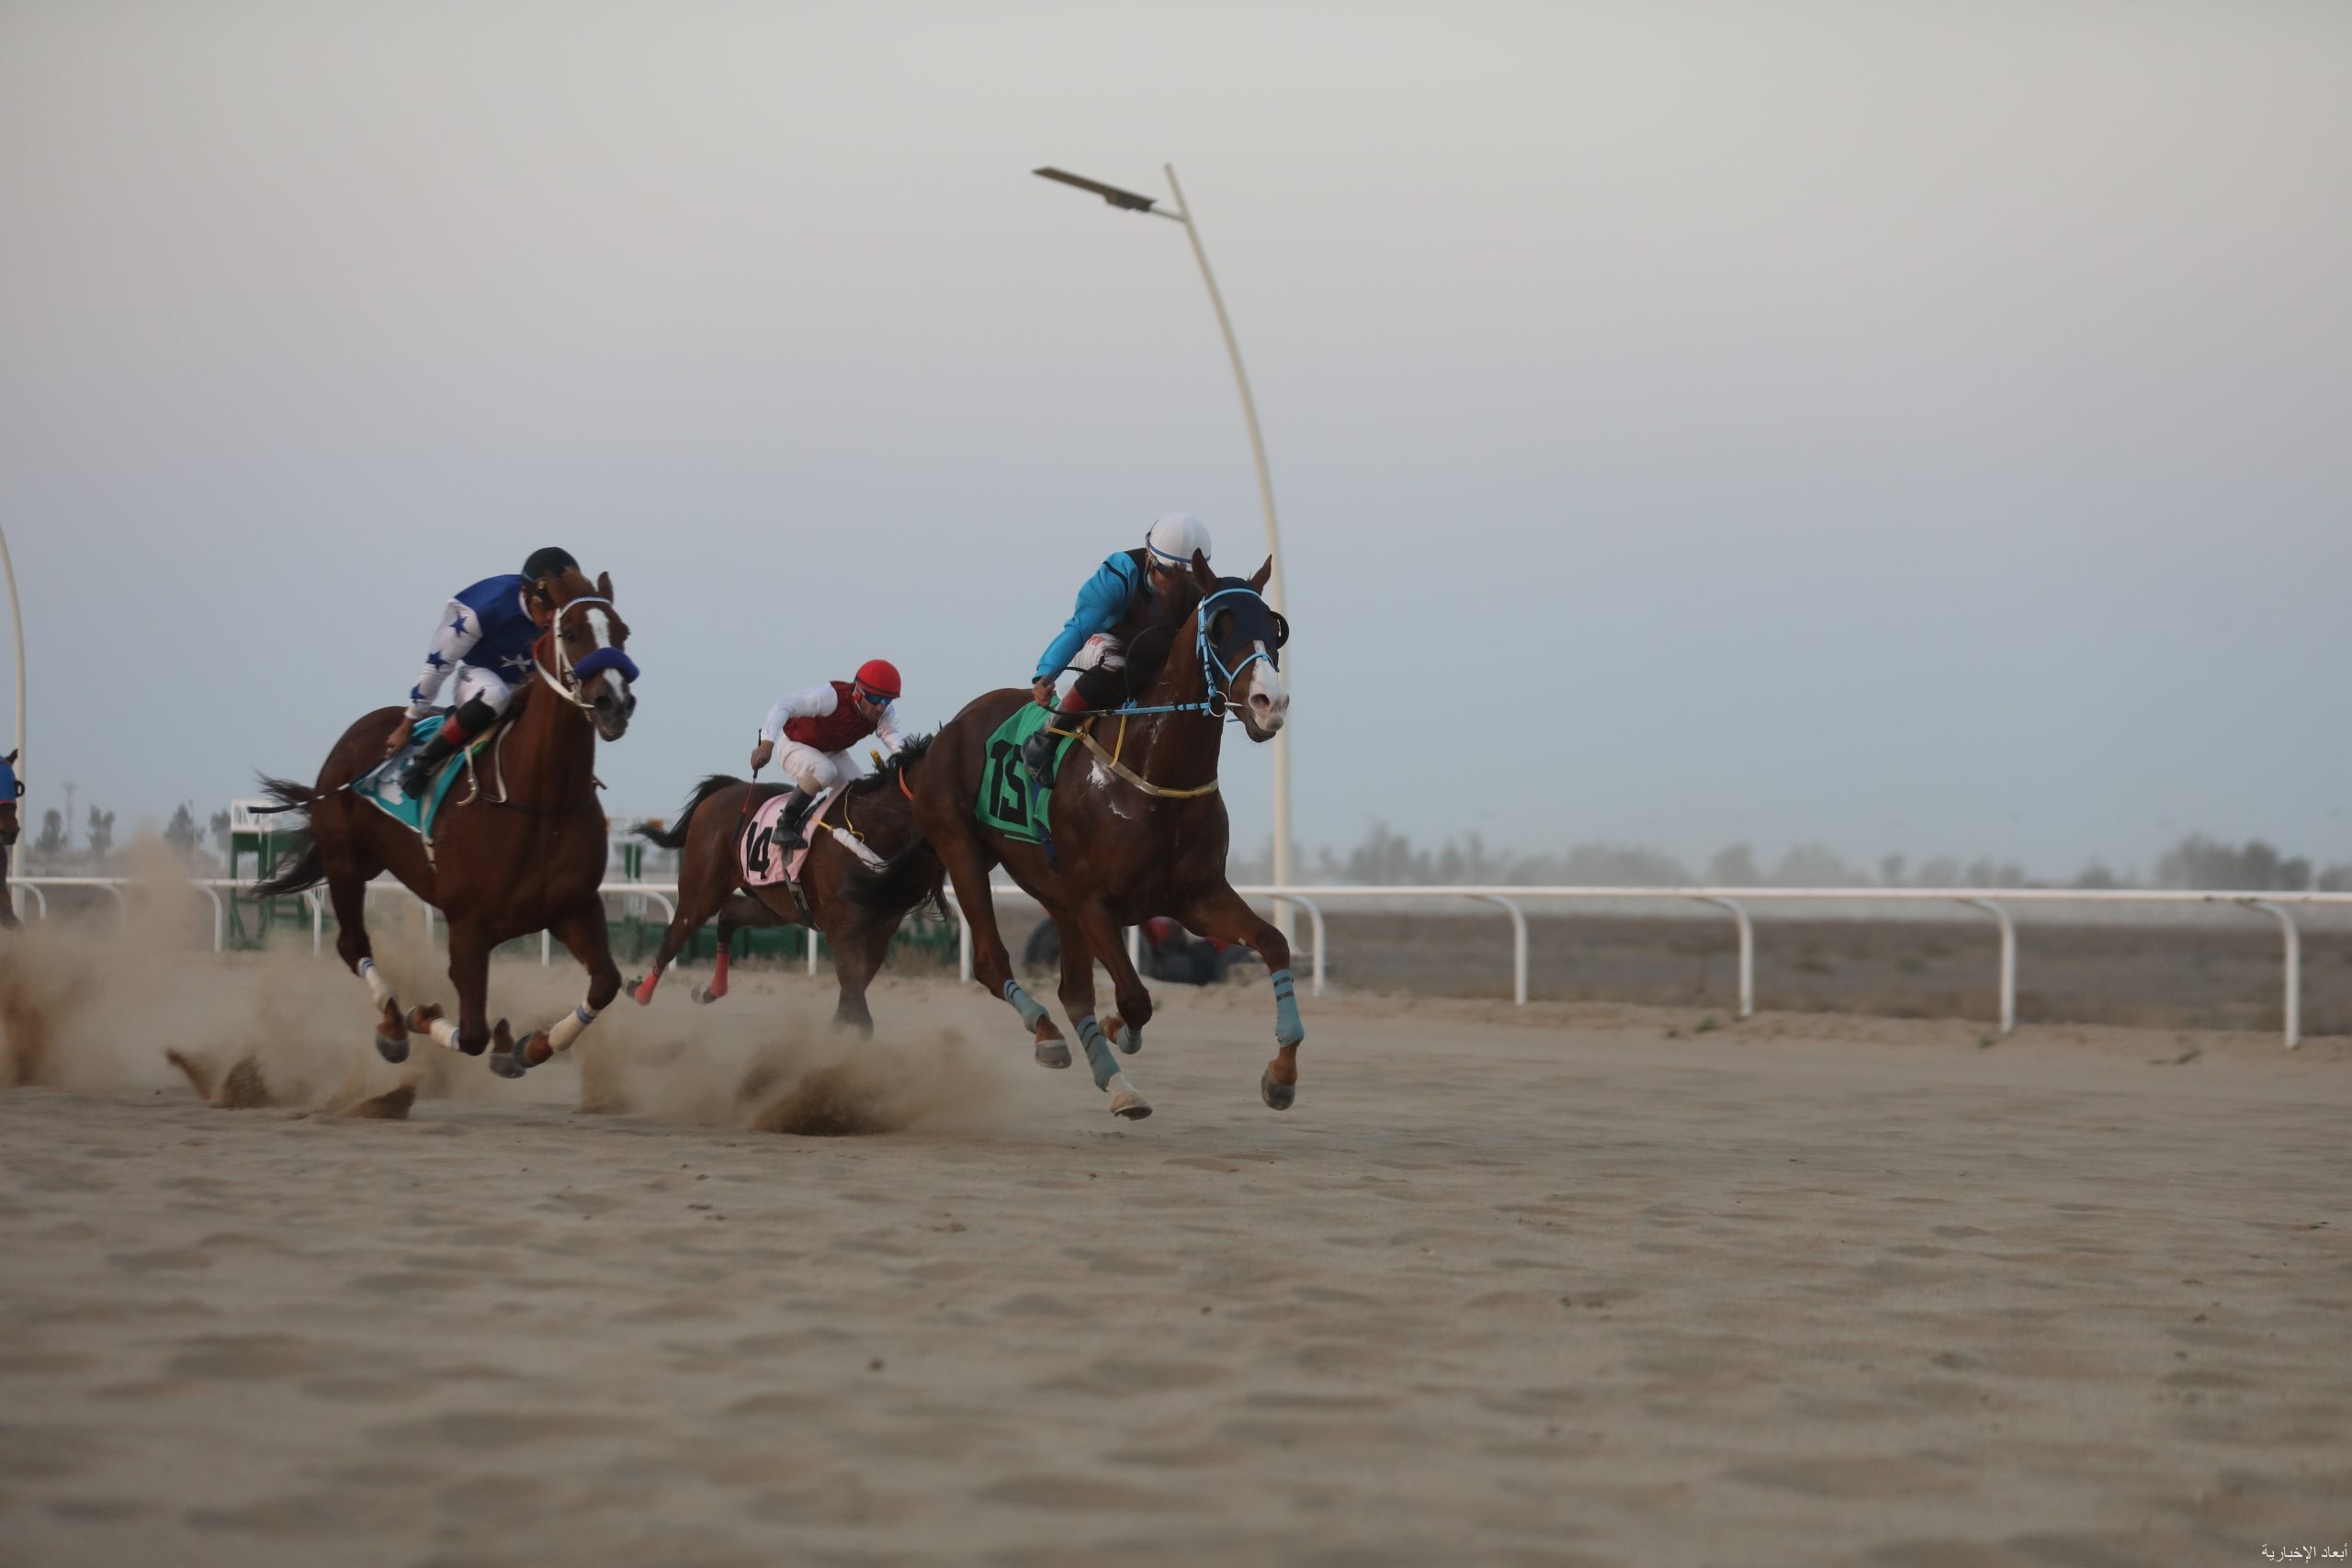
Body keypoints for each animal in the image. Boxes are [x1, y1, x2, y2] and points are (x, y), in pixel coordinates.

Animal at [253, 567, 640, 1078]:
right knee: (353, 945)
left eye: (623, 633)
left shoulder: (574, 908)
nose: (615, 703)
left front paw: (530, 1045)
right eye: (573, 633)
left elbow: (606, 983)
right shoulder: (467, 925)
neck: (539, 803)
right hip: (345, 864)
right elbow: (472, 1033)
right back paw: (394, 1022)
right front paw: (422, 1017)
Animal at [625, 737, 946, 1034]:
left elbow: (852, 999)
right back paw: (639, 991)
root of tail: (730, 788)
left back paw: (710, 989)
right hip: (702, 889)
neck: (871, 829)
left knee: (728, 917)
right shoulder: (843, 932)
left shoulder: (877, 934)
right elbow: (856, 1003)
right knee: (676, 934)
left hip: (774, 904)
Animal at [910, 552, 1297, 1119]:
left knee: (1073, 991)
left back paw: (1118, 1084)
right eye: (1219, 627)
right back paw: (1048, 1036)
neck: (1153, 777)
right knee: (991, 963)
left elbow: (1273, 943)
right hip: (962, 851)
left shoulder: (1196, 897)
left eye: (1274, 627)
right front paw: (1123, 1031)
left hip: (1055, 896)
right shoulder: (1095, 903)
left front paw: (1282, 1074)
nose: (1272, 702)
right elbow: (1136, 997)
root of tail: (954, 725)